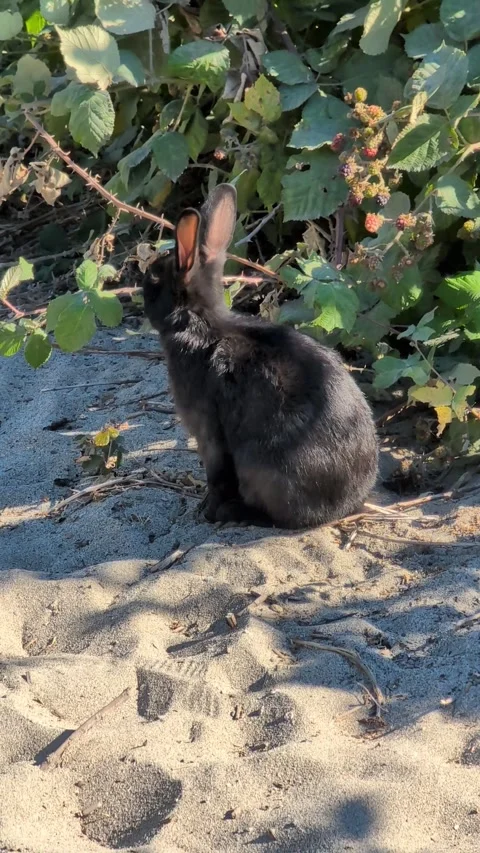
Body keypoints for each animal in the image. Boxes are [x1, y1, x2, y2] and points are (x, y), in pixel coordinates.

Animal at [143, 184, 378, 528]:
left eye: (155, 279)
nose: (141, 290)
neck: (200, 322)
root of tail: (341, 507)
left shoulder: (208, 433)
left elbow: (217, 476)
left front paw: (207, 511)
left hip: (259, 467)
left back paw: (232, 512)